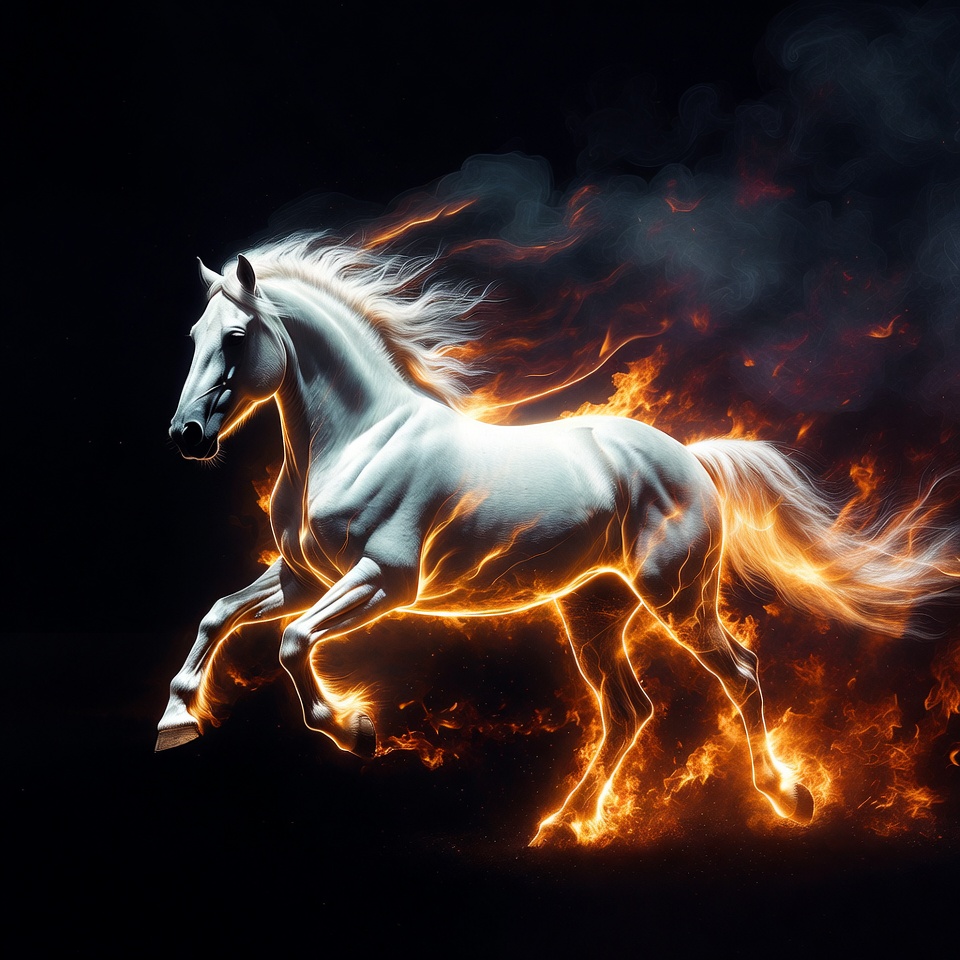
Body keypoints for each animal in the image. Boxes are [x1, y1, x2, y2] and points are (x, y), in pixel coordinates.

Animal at [158, 235, 956, 844]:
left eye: (235, 338)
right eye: (192, 337)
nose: (187, 436)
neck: (360, 438)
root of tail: (691, 459)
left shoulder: (383, 580)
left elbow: (292, 643)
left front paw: (354, 729)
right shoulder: (304, 577)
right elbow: (220, 614)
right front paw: (176, 719)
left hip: (677, 597)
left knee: (741, 673)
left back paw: (787, 797)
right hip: (594, 613)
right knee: (630, 712)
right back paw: (565, 824)